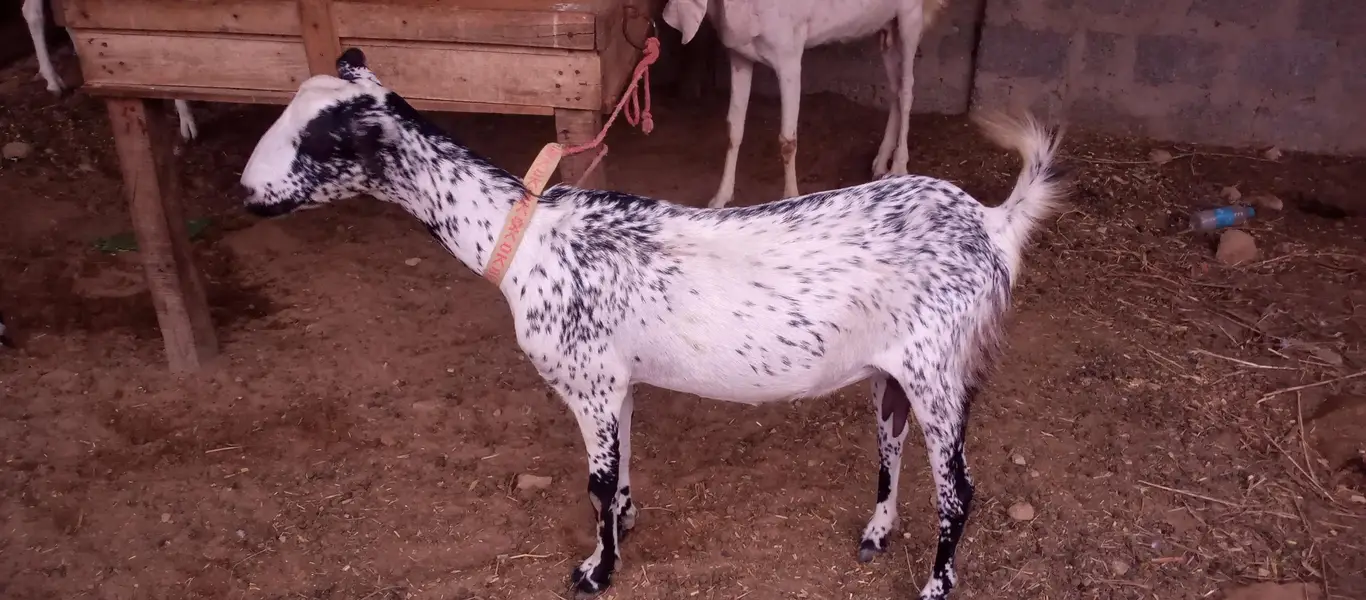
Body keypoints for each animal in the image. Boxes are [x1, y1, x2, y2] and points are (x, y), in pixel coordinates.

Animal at [239, 48, 1065, 600]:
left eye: (322, 141)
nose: (248, 194)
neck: (526, 241)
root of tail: (994, 225)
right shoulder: (615, 384)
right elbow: (624, 467)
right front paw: (626, 526)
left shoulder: (586, 383)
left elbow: (597, 482)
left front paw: (595, 570)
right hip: (896, 373)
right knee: (892, 446)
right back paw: (876, 533)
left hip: (940, 372)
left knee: (960, 489)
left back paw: (934, 585)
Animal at [662, 0, 948, 208]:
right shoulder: (740, 56)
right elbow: (734, 129)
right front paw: (720, 198)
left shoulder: (789, 56)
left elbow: (787, 140)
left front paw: (790, 197)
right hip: (885, 26)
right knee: (895, 90)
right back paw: (879, 165)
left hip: (910, 16)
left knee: (908, 90)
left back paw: (899, 166)